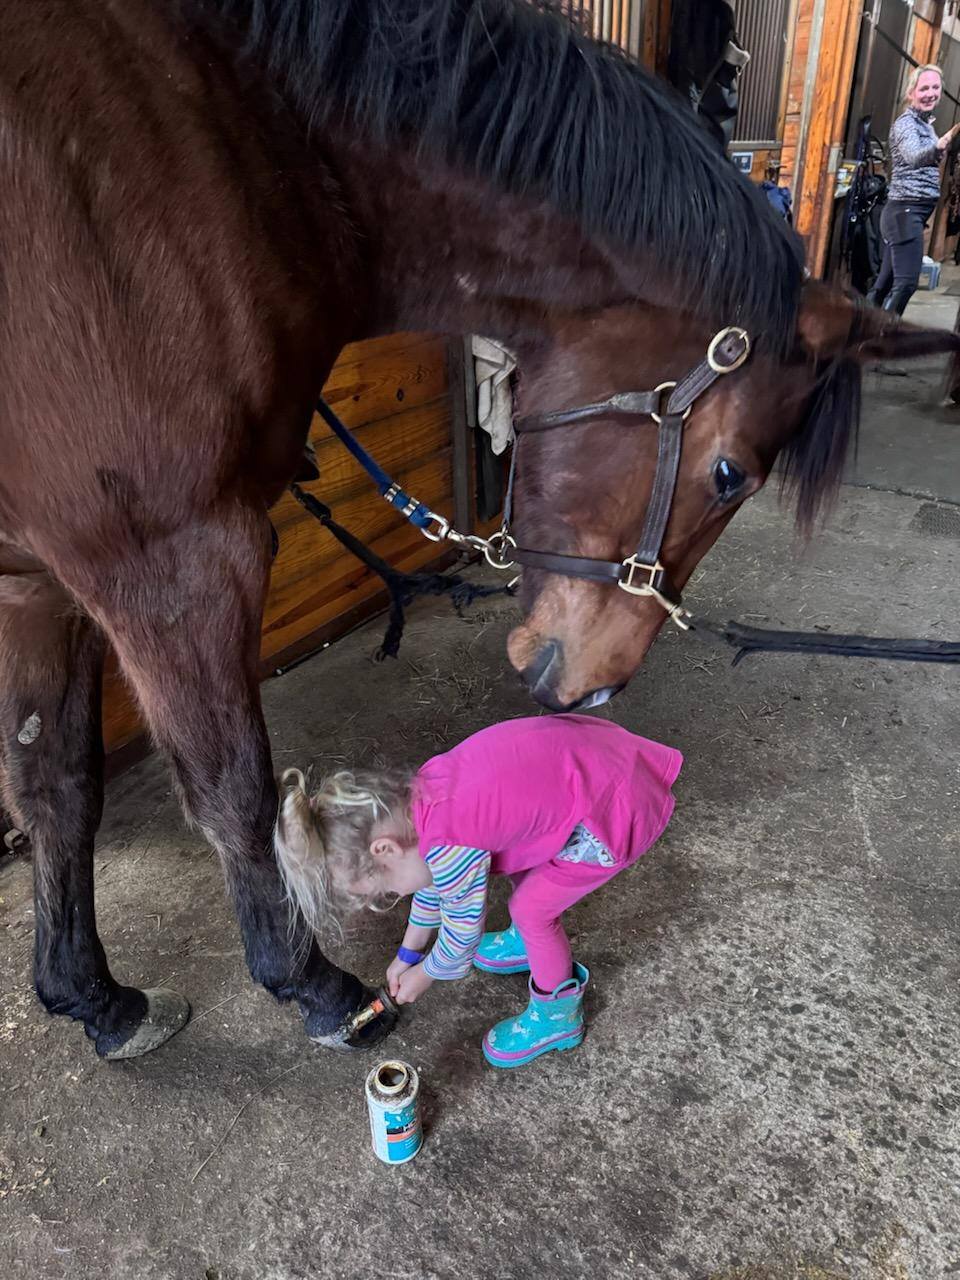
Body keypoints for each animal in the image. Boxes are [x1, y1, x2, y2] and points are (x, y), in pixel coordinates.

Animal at [1, 0, 955, 1062]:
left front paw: (92, 996)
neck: (240, 146)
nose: (593, 693)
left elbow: (56, 783)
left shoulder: (41, 582)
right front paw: (314, 986)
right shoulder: (168, 560)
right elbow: (230, 792)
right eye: (729, 474)